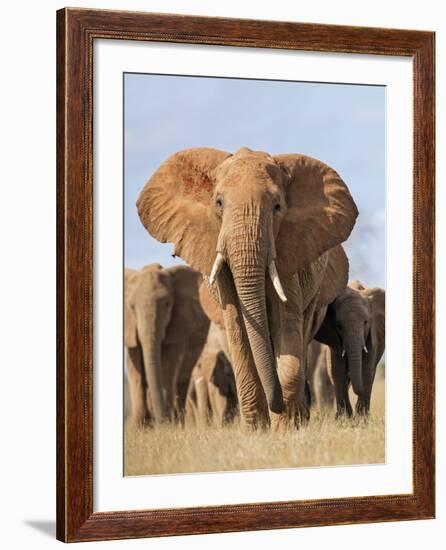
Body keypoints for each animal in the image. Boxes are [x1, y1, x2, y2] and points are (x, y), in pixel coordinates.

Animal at [136, 147, 358, 432]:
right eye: (218, 203)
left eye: (277, 206)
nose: (278, 406)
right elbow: (238, 331)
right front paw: (256, 430)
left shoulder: (291, 252)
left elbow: (287, 326)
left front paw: (284, 428)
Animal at [316, 280, 386, 418]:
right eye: (339, 326)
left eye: (366, 322)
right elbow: (337, 369)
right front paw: (344, 419)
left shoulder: (373, 333)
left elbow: (367, 369)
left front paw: (361, 419)